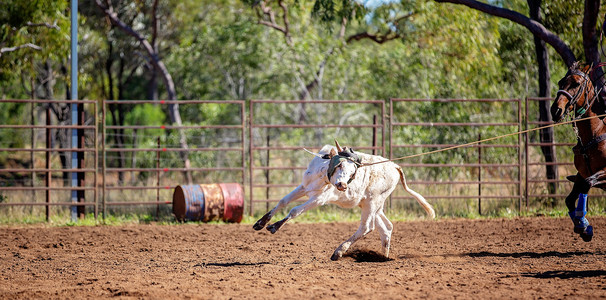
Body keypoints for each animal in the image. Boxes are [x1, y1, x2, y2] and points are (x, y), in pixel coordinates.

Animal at [253, 141, 436, 260]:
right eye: (339, 165)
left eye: (353, 171)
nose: (342, 185)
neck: (321, 175)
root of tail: (394, 166)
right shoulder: (304, 187)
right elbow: (283, 202)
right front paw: (261, 222)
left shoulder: (319, 199)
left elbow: (295, 210)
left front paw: (275, 226)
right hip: (373, 205)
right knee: (386, 228)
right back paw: (382, 257)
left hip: (372, 203)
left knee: (366, 227)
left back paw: (339, 251)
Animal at [552, 62, 606, 243]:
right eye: (560, 82)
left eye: (576, 83)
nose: (555, 110)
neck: (596, 131)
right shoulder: (581, 174)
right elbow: (570, 199)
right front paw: (584, 227)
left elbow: (587, 184)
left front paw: (582, 223)